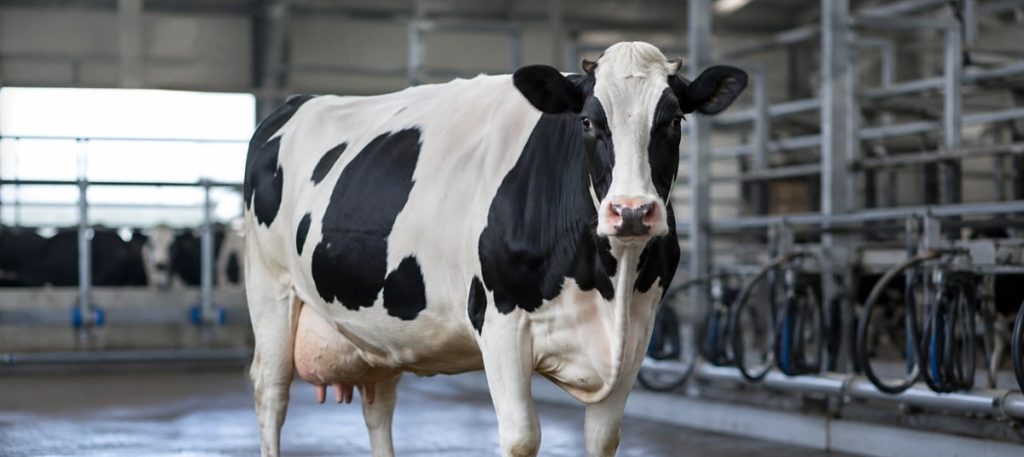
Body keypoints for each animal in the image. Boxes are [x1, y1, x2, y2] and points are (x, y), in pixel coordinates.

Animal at [243, 41, 746, 457]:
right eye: (588, 121)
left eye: (674, 121)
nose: (633, 211)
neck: (609, 282)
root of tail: (298, 101)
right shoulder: (501, 322)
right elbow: (522, 437)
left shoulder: (637, 333)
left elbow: (603, 439)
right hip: (270, 288)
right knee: (272, 392)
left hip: (380, 330)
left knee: (379, 407)